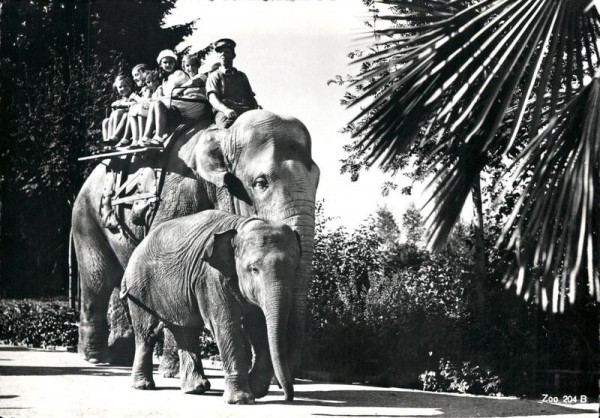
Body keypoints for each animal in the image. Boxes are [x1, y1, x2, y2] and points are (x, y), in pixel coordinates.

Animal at [71, 109, 318, 380]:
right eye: (261, 183)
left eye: (317, 180)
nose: (284, 378)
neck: (223, 132)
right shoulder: (178, 192)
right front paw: (173, 373)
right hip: (86, 217)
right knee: (98, 279)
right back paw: (94, 358)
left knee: (118, 280)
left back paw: (119, 358)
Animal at [122, 211, 300, 404]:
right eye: (253, 269)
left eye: (294, 269)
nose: (287, 397)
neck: (241, 225)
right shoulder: (210, 277)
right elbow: (226, 325)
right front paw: (241, 400)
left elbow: (258, 327)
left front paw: (256, 390)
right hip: (139, 287)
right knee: (147, 333)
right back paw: (143, 386)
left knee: (186, 331)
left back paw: (195, 389)